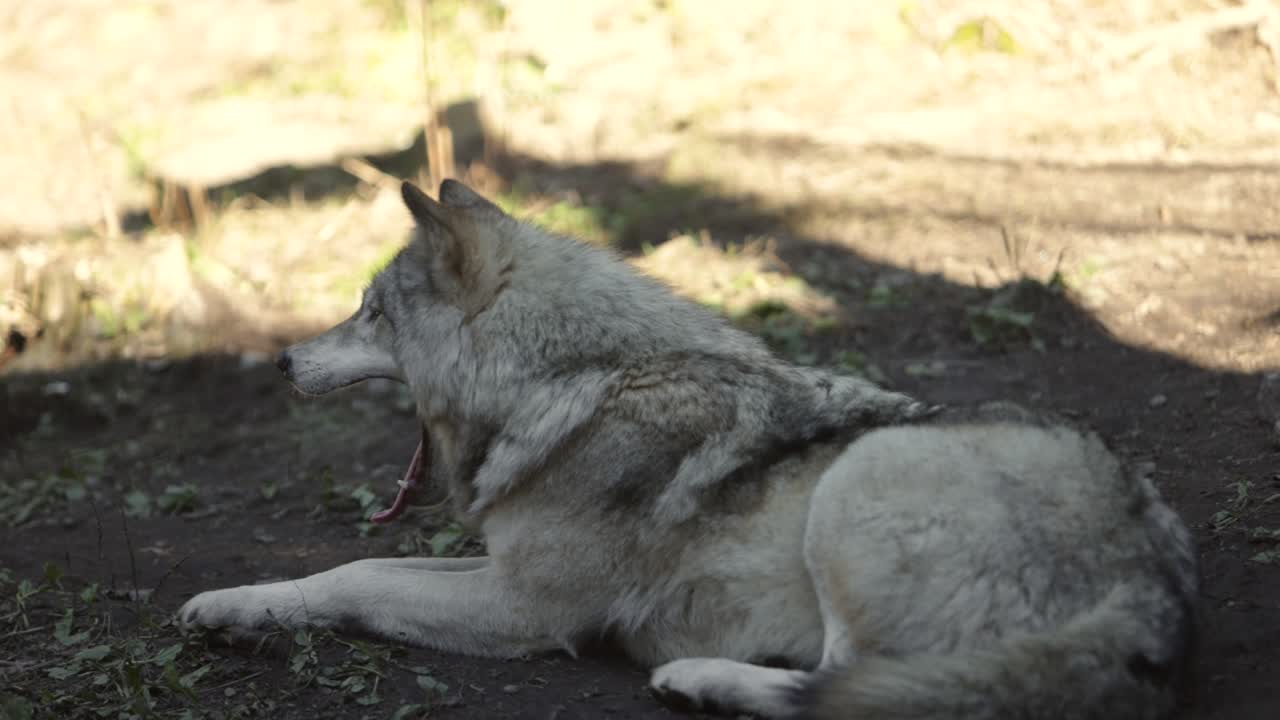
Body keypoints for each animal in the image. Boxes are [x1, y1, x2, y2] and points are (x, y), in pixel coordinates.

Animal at [179, 180, 1198, 719]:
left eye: (369, 313)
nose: (282, 360)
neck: (580, 380)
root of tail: (1154, 587)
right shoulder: (501, 572)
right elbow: (345, 568)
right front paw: (232, 606)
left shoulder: (523, 611)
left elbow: (362, 581)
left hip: (858, 486)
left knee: (843, 687)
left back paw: (696, 678)